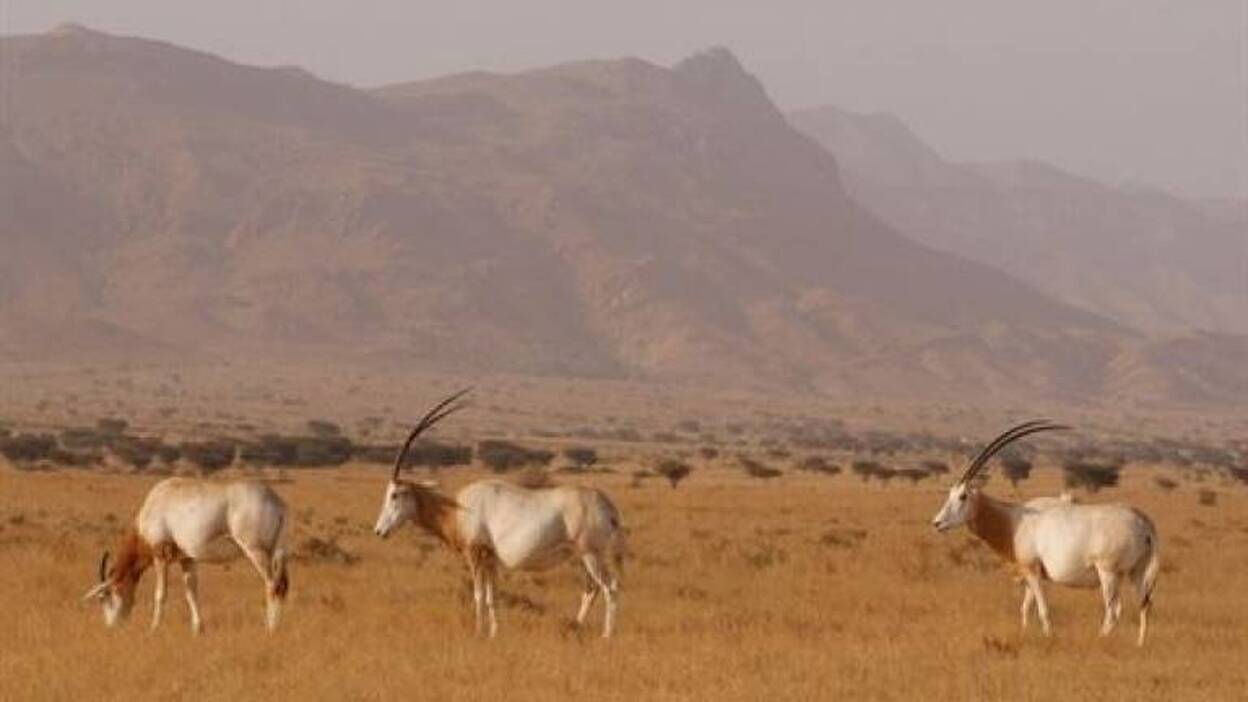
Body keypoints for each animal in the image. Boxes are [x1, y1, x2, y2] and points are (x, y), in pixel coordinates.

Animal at [82, 478, 289, 634]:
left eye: (105, 596)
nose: (111, 627)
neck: (159, 499)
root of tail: (278, 504)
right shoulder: (186, 558)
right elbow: (191, 592)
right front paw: (198, 629)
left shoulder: (160, 556)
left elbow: (160, 594)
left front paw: (154, 628)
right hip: (277, 553)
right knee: (282, 585)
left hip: (256, 551)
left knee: (272, 584)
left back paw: (270, 629)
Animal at [373, 389, 625, 638]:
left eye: (394, 494)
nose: (379, 531)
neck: (458, 510)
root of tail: (607, 506)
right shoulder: (491, 559)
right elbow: (491, 596)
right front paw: (494, 632)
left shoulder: (475, 554)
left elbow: (478, 596)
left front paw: (478, 633)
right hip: (581, 556)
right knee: (591, 589)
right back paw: (575, 628)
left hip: (591, 554)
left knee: (609, 587)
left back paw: (606, 636)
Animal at [931, 420, 1161, 645]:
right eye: (950, 493)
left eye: (963, 496)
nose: (937, 523)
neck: (1015, 520)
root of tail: (1141, 519)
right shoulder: (1031, 574)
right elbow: (1025, 609)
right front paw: (1024, 635)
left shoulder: (1032, 570)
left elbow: (1043, 610)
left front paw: (1049, 638)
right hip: (1136, 572)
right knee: (1143, 604)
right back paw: (1140, 644)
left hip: (1108, 573)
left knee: (1113, 611)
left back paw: (1100, 640)